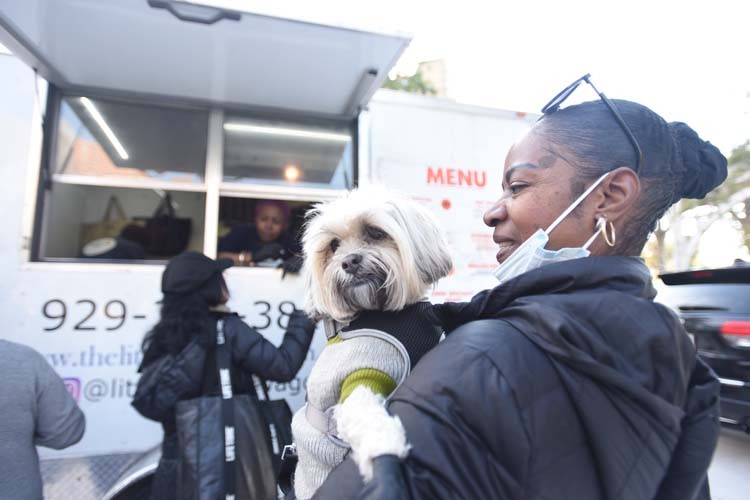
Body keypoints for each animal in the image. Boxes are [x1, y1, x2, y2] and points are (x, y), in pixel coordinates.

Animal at [294, 186, 452, 498]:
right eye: (333, 246)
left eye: (375, 232)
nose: (349, 261)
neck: (381, 314)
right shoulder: (362, 377)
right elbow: (364, 414)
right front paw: (385, 448)